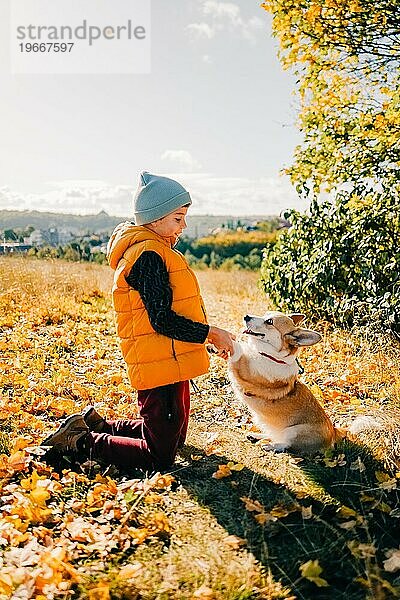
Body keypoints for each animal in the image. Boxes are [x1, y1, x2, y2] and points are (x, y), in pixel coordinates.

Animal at [227, 312, 346, 452]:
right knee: (273, 435)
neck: (270, 356)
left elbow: (238, 349)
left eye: (269, 322)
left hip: (294, 431)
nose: (246, 316)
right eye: (265, 314)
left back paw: (271, 445)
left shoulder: (245, 370)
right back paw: (256, 436)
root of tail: (334, 433)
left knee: (285, 444)